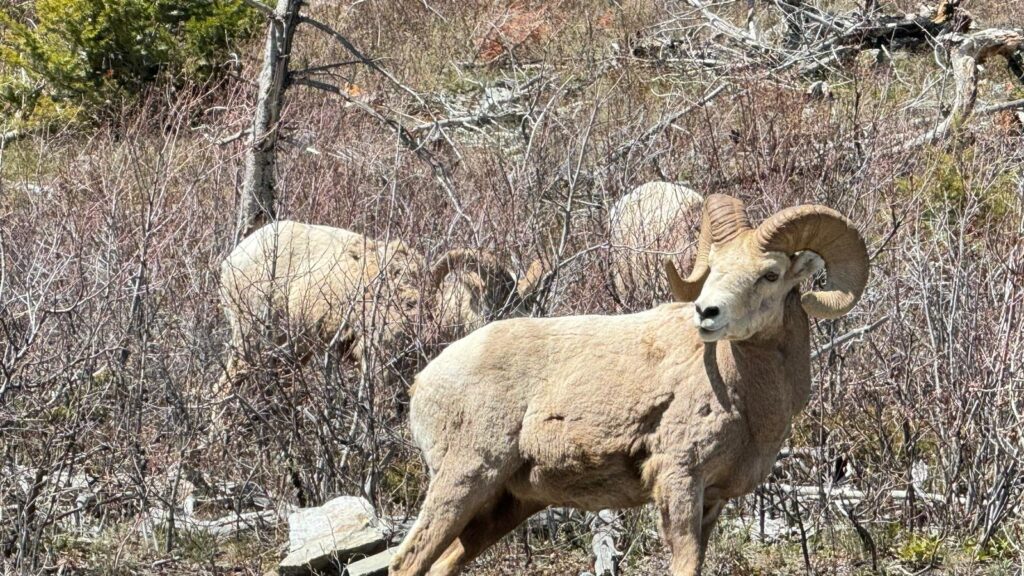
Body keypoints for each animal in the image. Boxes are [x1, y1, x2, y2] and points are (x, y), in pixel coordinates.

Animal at [387, 193, 868, 573]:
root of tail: (423, 381)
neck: (745, 397)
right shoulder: (679, 480)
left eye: (770, 274)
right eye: (713, 269)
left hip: (503, 506)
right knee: (406, 562)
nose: (706, 313)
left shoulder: (713, 500)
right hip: (463, 480)